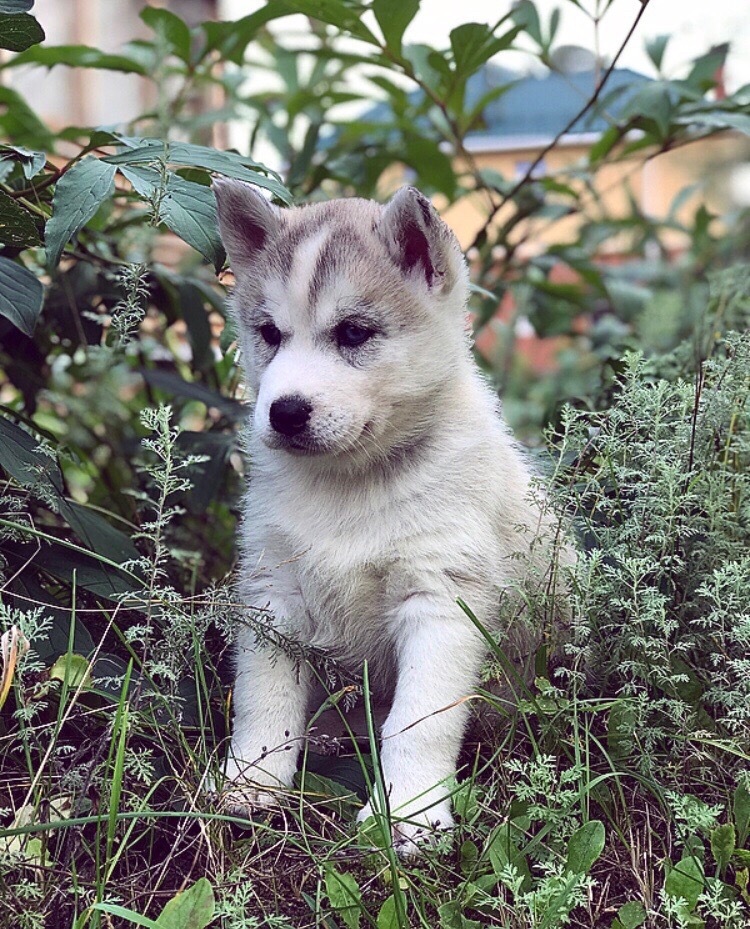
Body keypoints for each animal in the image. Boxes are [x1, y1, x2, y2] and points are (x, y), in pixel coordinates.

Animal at [214, 178, 568, 852]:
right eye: (269, 333)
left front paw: (407, 815)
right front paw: (251, 781)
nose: (285, 412)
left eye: (354, 333)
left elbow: (418, 723)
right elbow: (261, 698)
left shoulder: (442, 602)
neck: (351, 488)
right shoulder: (274, 591)